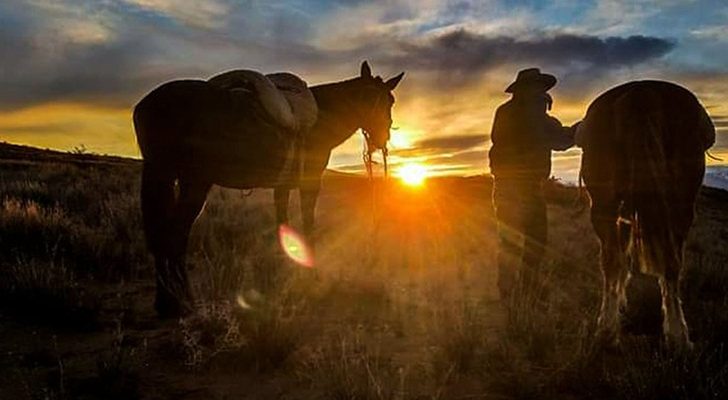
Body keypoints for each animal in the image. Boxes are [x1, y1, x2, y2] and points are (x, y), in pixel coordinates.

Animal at [131, 61, 404, 318]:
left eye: (389, 100)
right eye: (373, 98)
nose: (381, 139)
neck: (322, 116)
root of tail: (147, 106)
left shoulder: (282, 185)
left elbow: (282, 225)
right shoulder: (310, 183)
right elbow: (308, 224)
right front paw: (312, 273)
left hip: (164, 175)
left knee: (162, 235)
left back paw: (166, 303)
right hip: (195, 182)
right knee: (175, 235)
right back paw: (183, 301)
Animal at [576, 79, 712, 348]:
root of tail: (641, 92)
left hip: (605, 205)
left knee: (614, 259)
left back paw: (608, 330)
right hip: (681, 206)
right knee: (669, 264)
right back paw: (676, 334)